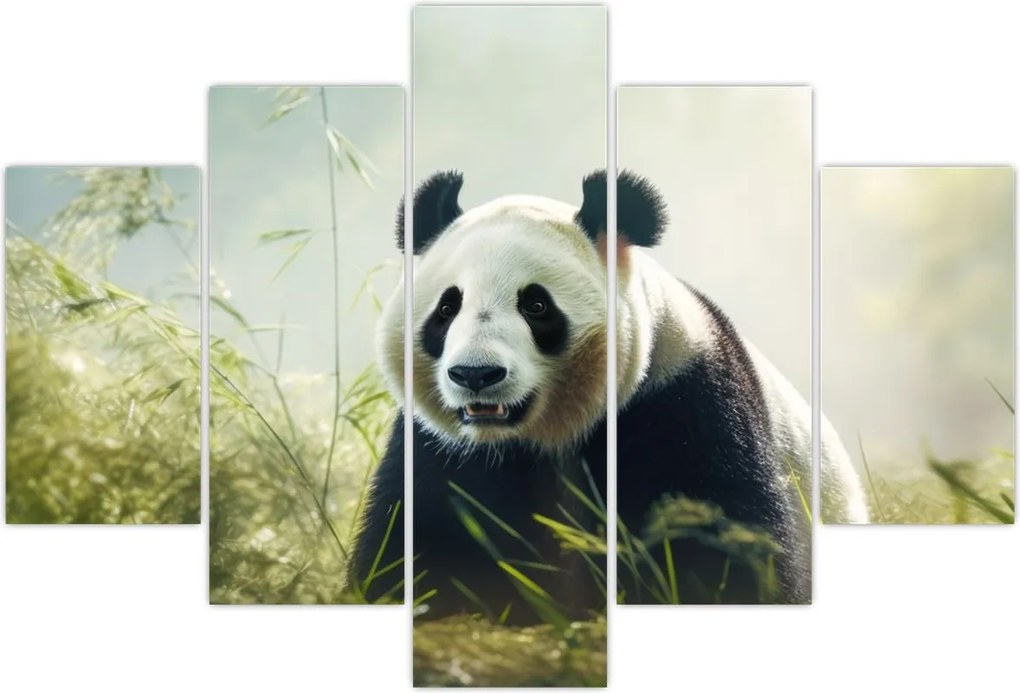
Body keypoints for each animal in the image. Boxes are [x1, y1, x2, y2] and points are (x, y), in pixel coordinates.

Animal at [349, 169, 868, 619]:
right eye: (447, 307)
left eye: (536, 305)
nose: (476, 375)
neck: (543, 435)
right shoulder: (441, 449)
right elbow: (419, 544)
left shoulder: (684, 402)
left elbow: (720, 544)